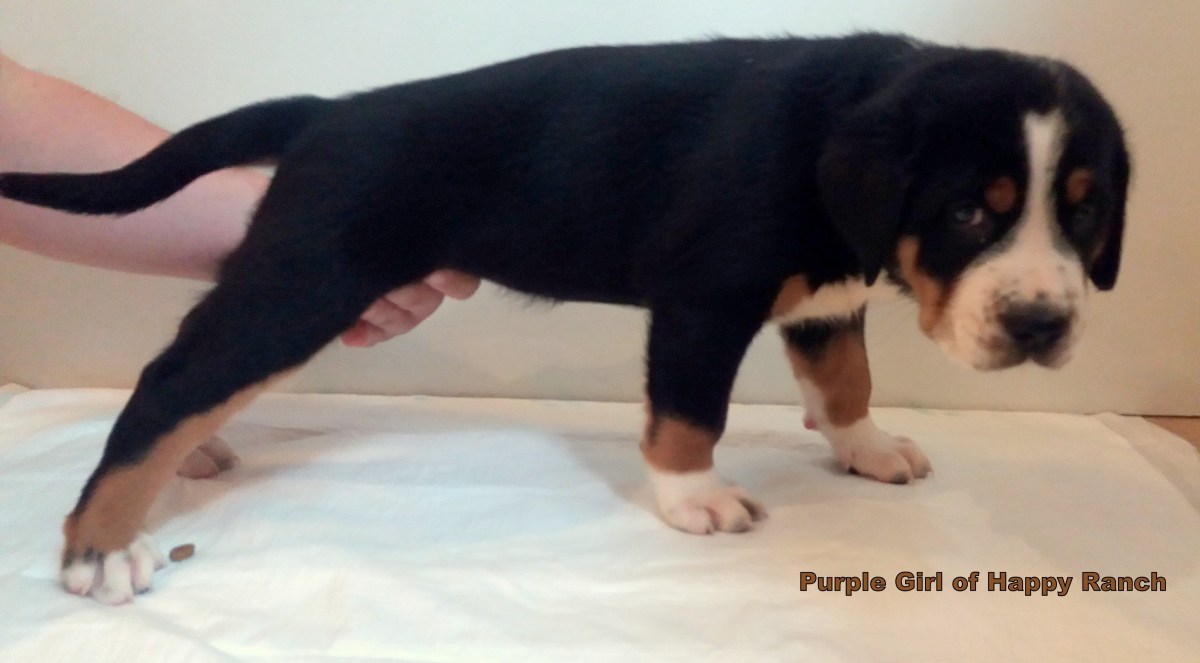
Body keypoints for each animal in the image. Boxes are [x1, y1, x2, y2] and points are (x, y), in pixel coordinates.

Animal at [0, 33, 1128, 604]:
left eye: (1084, 211)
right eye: (967, 212)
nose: (1041, 323)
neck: (831, 132)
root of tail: (327, 112)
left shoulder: (823, 300)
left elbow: (845, 377)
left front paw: (867, 446)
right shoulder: (703, 299)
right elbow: (688, 414)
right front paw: (694, 500)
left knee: (192, 371)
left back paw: (188, 465)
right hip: (308, 281)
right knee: (173, 381)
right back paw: (100, 545)